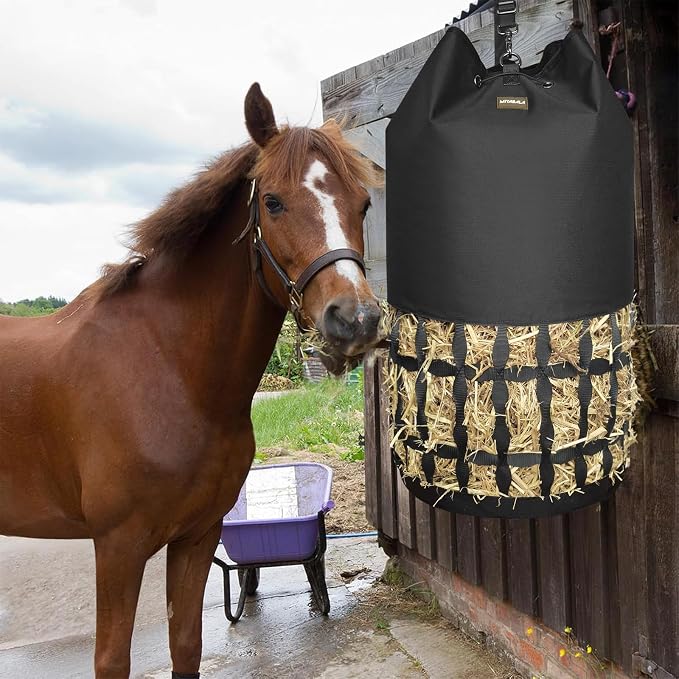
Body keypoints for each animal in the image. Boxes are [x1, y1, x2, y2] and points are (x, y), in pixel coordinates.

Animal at [0, 83, 382, 678]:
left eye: (362, 203)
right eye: (273, 202)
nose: (356, 320)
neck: (171, 371)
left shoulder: (198, 537)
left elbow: (186, 644)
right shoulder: (118, 546)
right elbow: (112, 658)